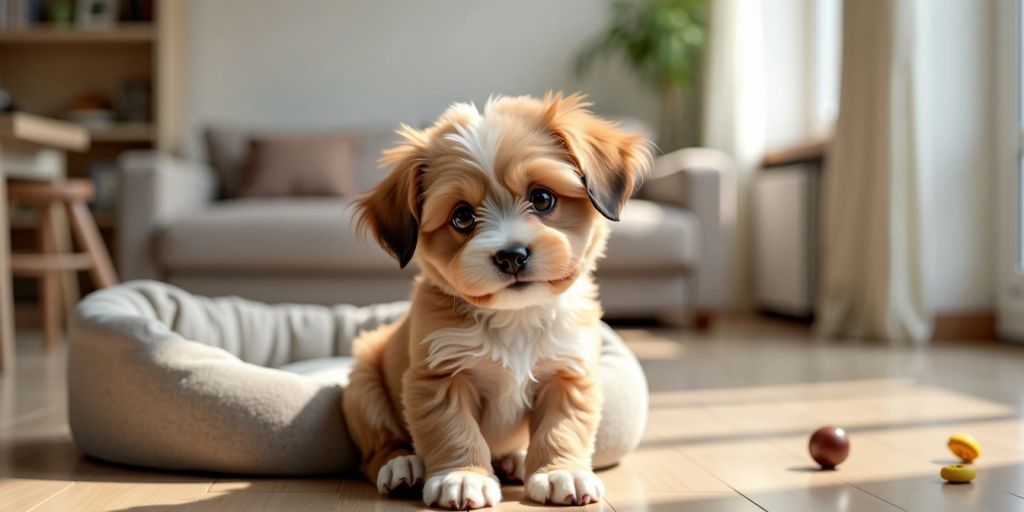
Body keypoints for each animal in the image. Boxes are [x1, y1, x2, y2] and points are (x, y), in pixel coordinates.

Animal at [344, 92, 647, 507]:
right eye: (462, 217)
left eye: (542, 198)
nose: (511, 255)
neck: (514, 318)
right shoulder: (439, 375)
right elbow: (453, 429)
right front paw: (462, 476)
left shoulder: (569, 371)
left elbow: (563, 425)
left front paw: (560, 471)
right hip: (363, 382)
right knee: (375, 450)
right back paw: (402, 465)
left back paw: (514, 459)